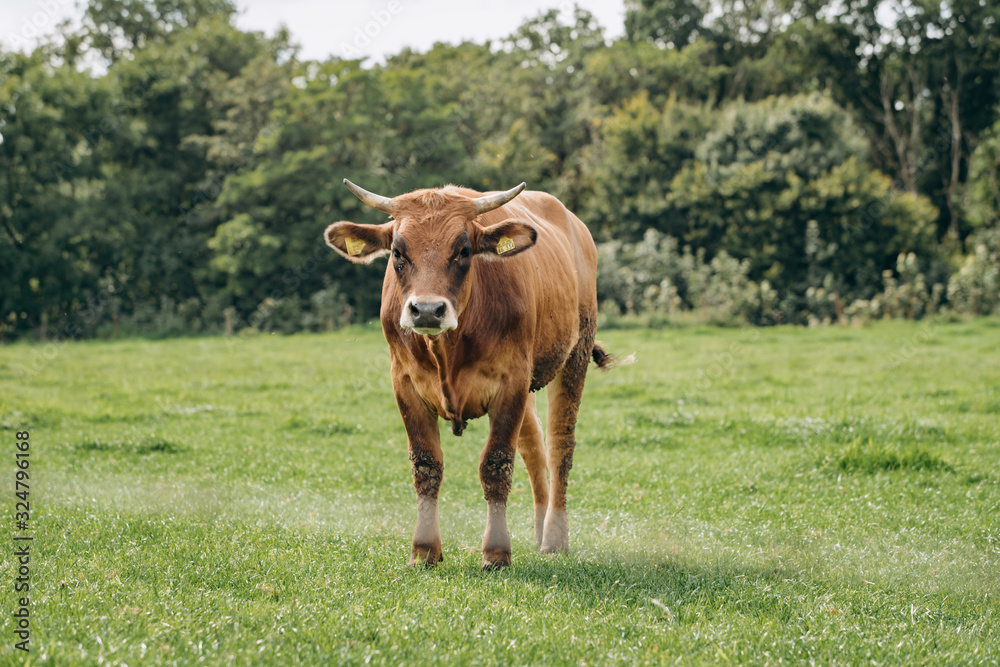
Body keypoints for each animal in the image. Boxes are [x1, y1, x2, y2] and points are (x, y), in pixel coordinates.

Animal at [324, 179, 612, 568]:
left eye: (463, 250)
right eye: (398, 251)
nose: (426, 310)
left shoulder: (511, 381)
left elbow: (496, 464)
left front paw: (496, 552)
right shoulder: (404, 383)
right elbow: (426, 465)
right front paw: (424, 550)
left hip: (575, 353)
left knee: (559, 445)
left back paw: (554, 537)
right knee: (533, 446)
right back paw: (539, 529)